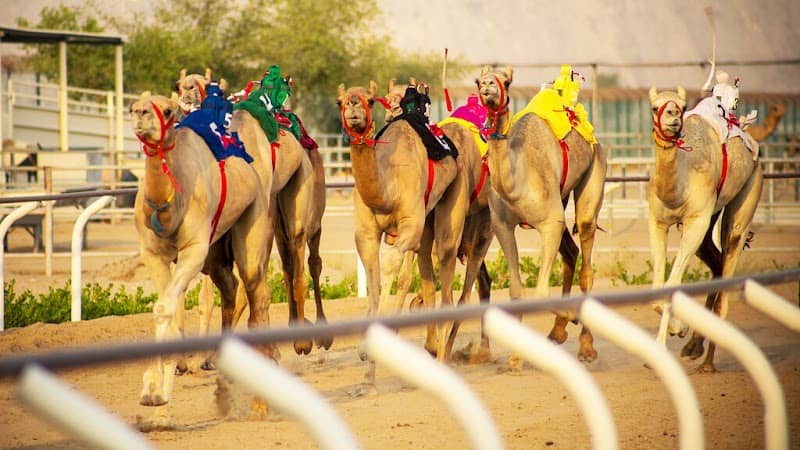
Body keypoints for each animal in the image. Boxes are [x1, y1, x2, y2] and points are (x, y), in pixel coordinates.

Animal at [130, 93, 271, 419]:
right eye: (132, 107)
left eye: (168, 110)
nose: (142, 114)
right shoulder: (153, 254)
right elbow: (165, 309)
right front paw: (155, 395)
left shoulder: (194, 250)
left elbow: (166, 308)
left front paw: (156, 390)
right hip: (217, 253)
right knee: (231, 290)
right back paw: (221, 377)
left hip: (255, 217)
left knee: (256, 291)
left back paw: (260, 401)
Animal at [337, 81, 468, 374]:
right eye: (340, 101)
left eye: (370, 100)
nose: (353, 105)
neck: (387, 189)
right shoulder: (365, 234)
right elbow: (373, 272)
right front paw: (365, 349)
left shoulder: (410, 225)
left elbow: (391, 268)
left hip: (455, 194)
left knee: (445, 257)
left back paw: (442, 353)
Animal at [476, 65, 607, 364]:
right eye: (478, 81)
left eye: (506, 81)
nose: (488, 86)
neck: (517, 183)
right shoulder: (502, 225)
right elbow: (516, 290)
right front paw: (515, 359)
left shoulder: (549, 222)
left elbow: (541, 290)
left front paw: (572, 315)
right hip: (561, 198)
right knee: (571, 252)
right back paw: (557, 332)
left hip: (596, 167)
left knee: (586, 259)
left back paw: (586, 346)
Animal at [648, 74, 763, 373]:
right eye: (654, 107)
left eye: (680, 105)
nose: (672, 117)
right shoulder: (657, 222)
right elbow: (658, 286)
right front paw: (675, 334)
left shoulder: (695, 222)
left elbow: (671, 284)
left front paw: (675, 331)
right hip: (712, 217)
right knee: (716, 262)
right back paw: (694, 347)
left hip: (747, 195)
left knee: (728, 259)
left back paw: (708, 362)